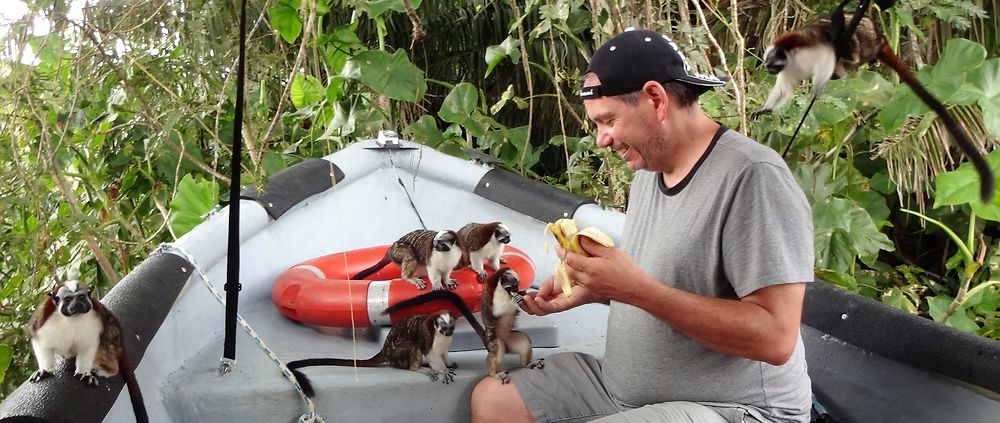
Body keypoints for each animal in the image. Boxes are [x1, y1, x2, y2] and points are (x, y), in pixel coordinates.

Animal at [26, 282, 148, 423]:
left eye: (81, 297)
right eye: (68, 299)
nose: (77, 304)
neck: (72, 318)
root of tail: (121, 341)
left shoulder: (95, 319)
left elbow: (89, 344)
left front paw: (84, 373)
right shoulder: (43, 316)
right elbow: (40, 340)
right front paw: (44, 370)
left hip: (113, 341)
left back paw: (108, 369)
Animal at [288, 296, 486, 396]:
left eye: (451, 328)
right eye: (444, 328)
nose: (448, 333)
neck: (440, 335)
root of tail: (384, 349)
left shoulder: (445, 342)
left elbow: (443, 353)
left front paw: (448, 364)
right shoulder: (430, 337)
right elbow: (428, 352)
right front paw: (442, 370)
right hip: (396, 353)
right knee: (412, 344)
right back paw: (417, 368)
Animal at [752, 0, 992, 201]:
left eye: (771, 64)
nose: (768, 69)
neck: (791, 56)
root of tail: (879, 38)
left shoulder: (811, 49)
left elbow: (827, 44)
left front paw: (817, 92)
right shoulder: (791, 67)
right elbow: (784, 88)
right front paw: (766, 109)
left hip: (865, 39)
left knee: (845, 38)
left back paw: (845, 44)